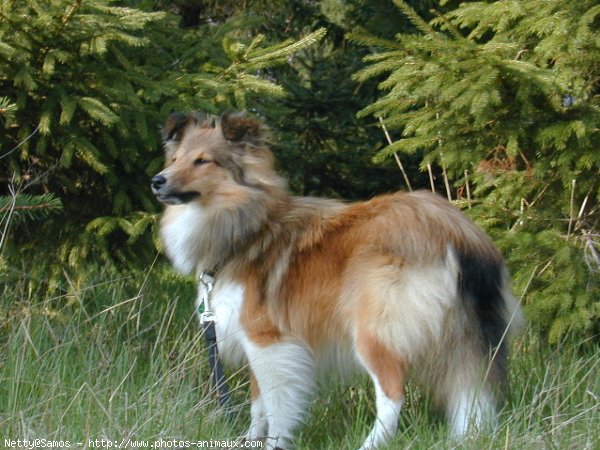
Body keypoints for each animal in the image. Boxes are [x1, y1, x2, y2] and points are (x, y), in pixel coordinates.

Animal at [152, 111, 524, 450]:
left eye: (203, 161)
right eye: (176, 158)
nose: (157, 180)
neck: (246, 228)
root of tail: (459, 232)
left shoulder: (267, 339)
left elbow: (276, 404)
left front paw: (275, 443)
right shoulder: (248, 339)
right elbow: (259, 404)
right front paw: (250, 440)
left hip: (376, 331)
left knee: (393, 394)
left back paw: (371, 444)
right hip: (464, 335)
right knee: (473, 392)